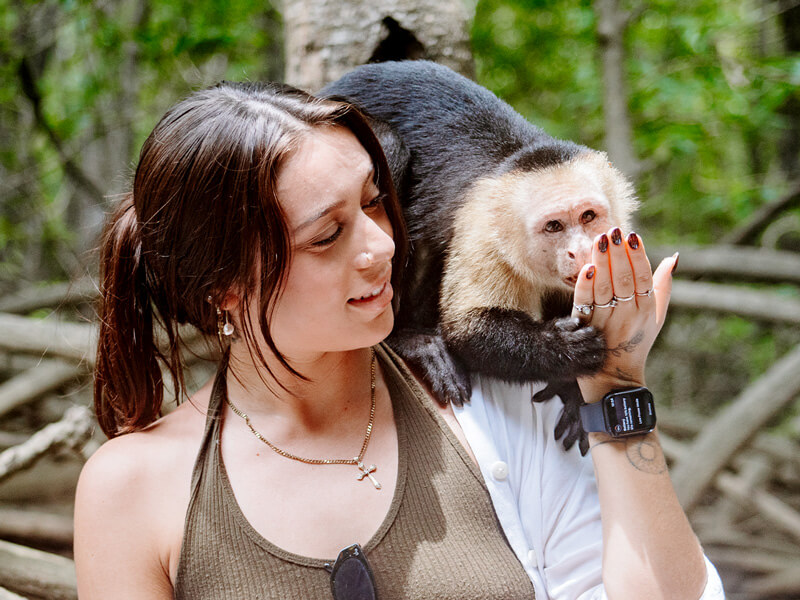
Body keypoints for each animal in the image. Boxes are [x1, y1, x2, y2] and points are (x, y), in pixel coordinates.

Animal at [321, 61, 638, 454]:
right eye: (554, 226)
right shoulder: (484, 233)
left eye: (588, 216)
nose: (578, 251)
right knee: (392, 152)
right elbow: (467, 331)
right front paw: (564, 350)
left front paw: (574, 392)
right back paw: (409, 340)